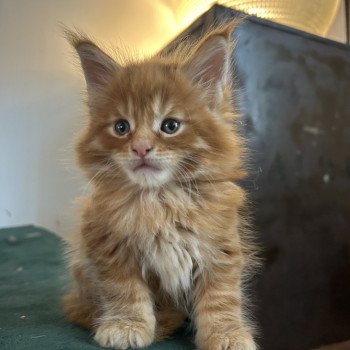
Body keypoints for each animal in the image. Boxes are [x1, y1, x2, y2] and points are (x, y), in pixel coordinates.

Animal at [64, 21, 258, 350]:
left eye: (170, 126)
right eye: (121, 127)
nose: (141, 148)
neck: (161, 200)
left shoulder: (220, 247)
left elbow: (221, 298)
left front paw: (227, 334)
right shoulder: (107, 245)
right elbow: (124, 291)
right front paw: (126, 326)